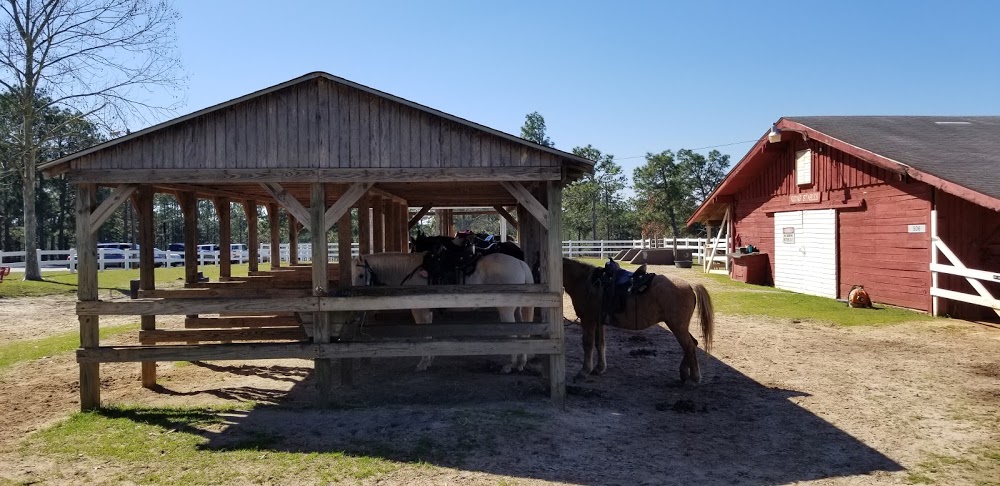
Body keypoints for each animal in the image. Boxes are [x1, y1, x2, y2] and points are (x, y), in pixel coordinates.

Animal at [564, 258, 712, 384]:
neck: (586, 282)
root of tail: (690, 286)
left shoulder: (588, 320)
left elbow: (588, 344)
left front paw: (584, 371)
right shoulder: (599, 322)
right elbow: (599, 344)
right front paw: (599, 368)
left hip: (677, 327)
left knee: (689, 346)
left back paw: (694, 378)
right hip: (680, 327)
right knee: (693, 343)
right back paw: (684, 373)